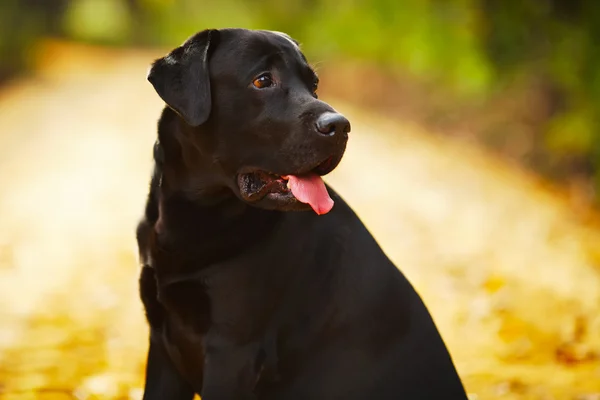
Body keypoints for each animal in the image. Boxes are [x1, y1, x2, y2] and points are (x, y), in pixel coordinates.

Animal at [137, 28, 468, 400]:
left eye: (314, 85)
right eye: (262, 80)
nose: (341, 126)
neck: (195, 216)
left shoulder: (232, 352)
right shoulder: (163, 341)